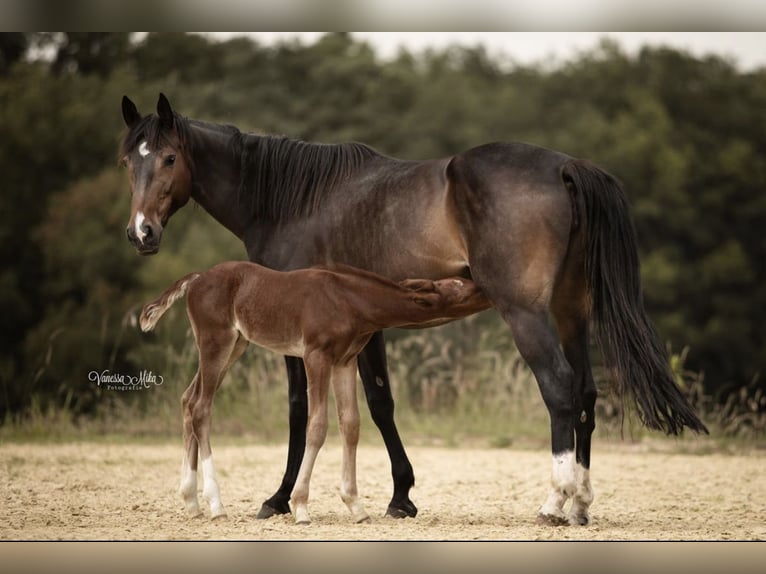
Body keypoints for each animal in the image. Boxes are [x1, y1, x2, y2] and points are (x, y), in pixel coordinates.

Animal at [140, 262, 488, 528]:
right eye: (458, 285)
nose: (483, 285)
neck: (349, 300)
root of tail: (196, 277)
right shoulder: (316, 356)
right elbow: (318, 426)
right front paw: (302, 506)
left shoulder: (344, 361)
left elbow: (351, 424)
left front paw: (356, 506)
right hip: (216, 342)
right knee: (201, 406)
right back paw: (215, 504)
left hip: (235, 345)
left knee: (188, 400)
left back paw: (191, 501)